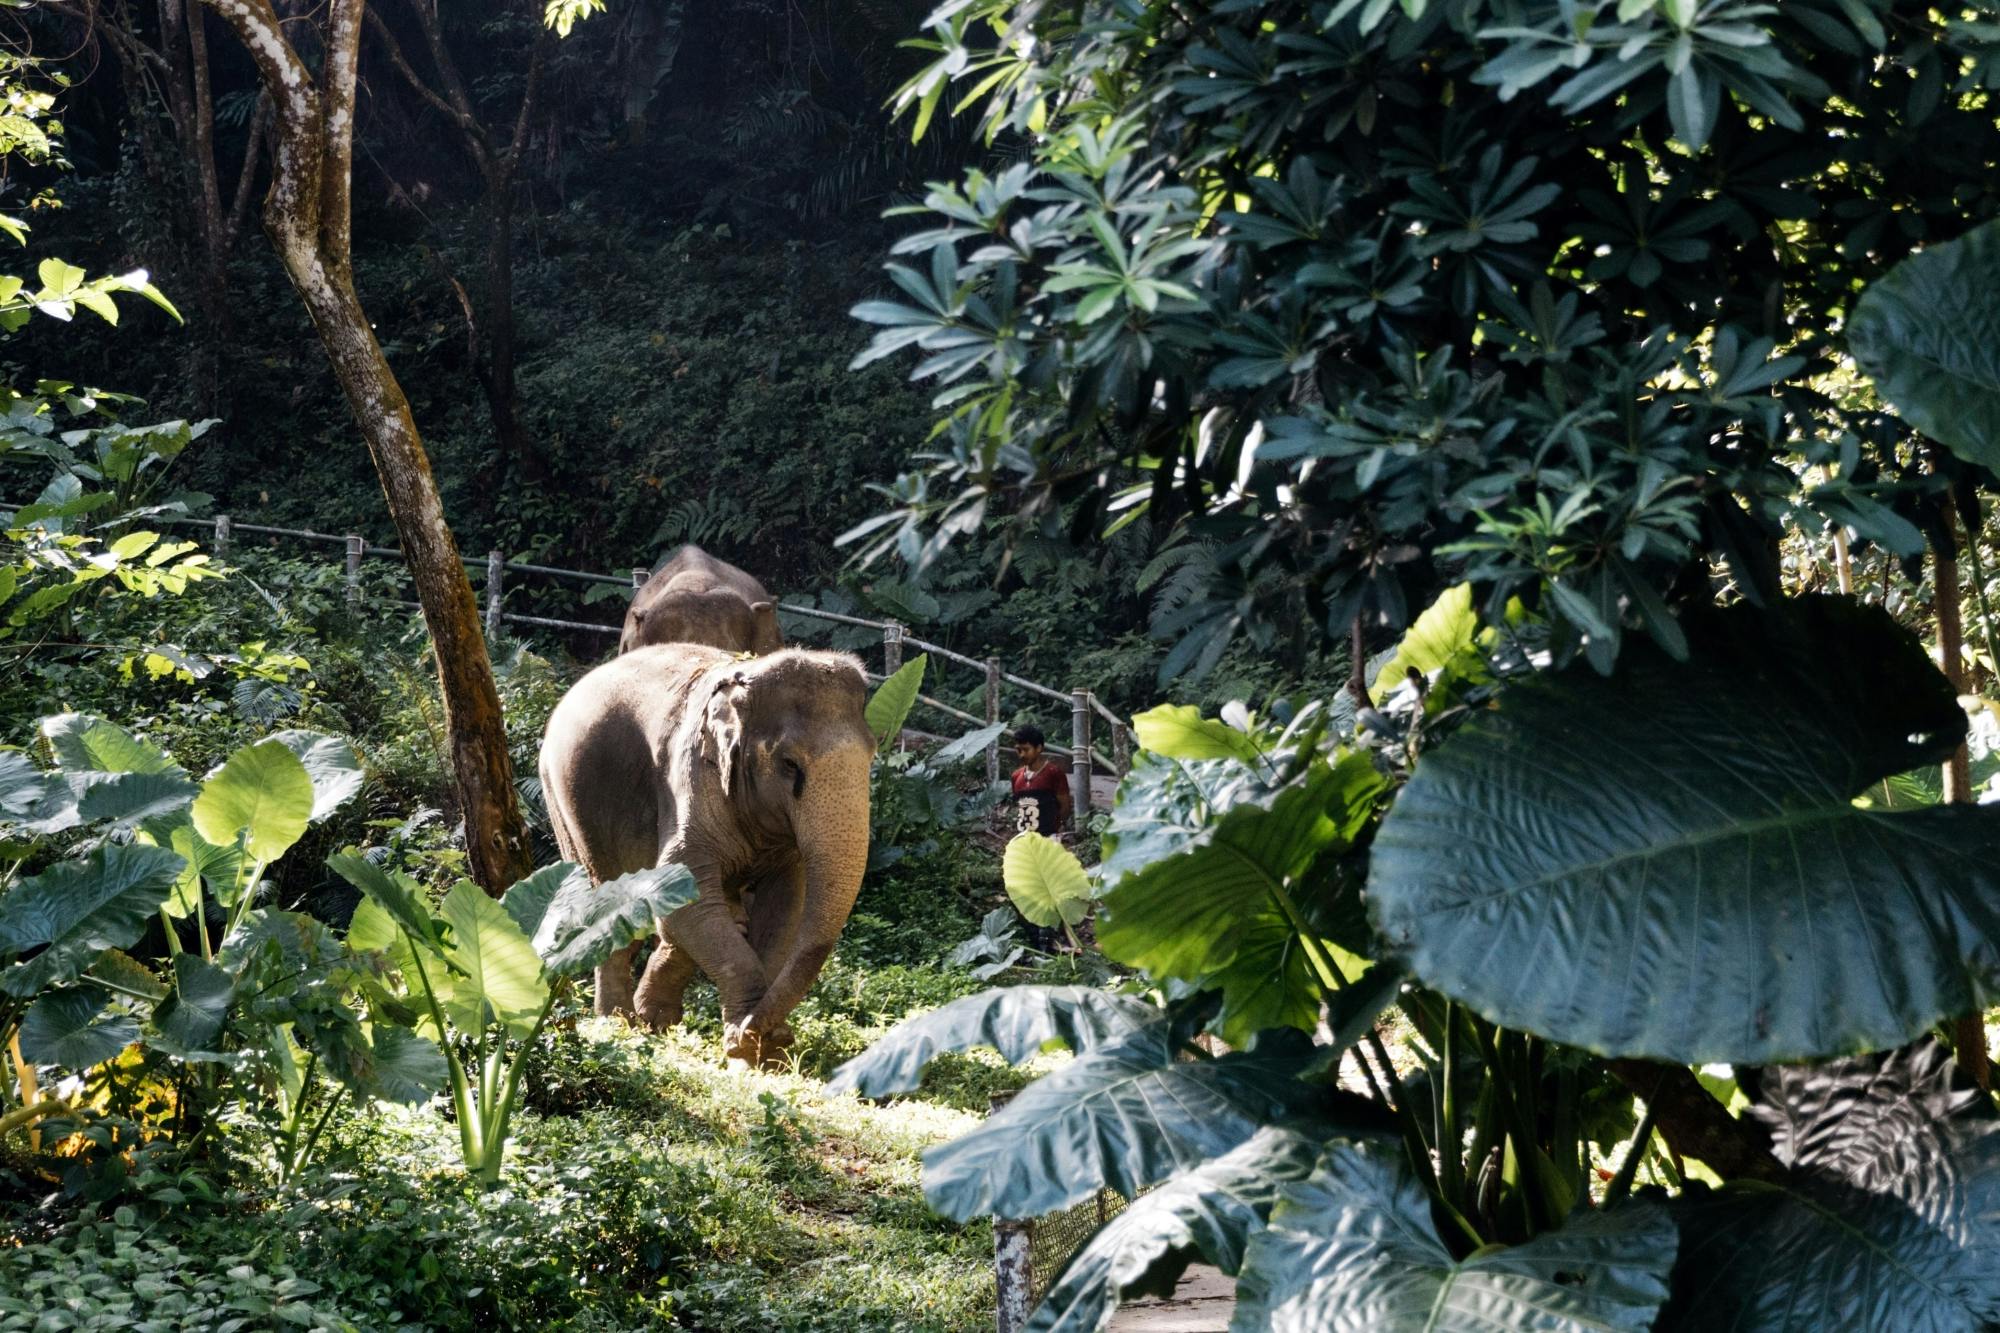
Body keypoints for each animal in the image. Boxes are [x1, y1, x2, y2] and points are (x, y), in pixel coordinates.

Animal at [536, 640, 872, 1064]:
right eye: (789, 764)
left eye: (873, 755)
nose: (760, 1032)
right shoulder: (693, 777)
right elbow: (686, 894)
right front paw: (750, 1046)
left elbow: (784, 909)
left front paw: (763, 1052)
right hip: (565, 802)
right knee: (609, 907)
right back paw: (619, 1024)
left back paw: (652, 1017)